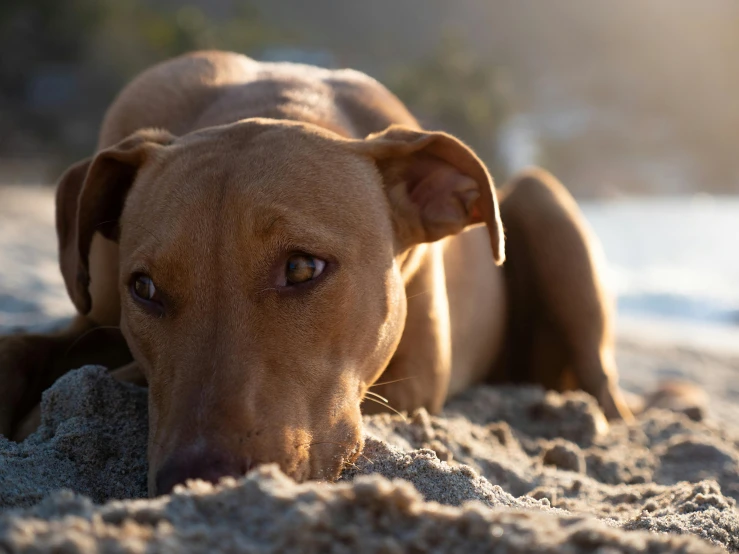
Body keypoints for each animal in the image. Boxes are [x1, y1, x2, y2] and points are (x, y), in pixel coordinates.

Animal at [1, 49, 632, 494]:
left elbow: (117, 373)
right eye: (145, 288)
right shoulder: (94, 316)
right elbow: (27, 347)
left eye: (303, 267)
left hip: (542, 199)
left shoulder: (414, 380)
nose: (199, 479)